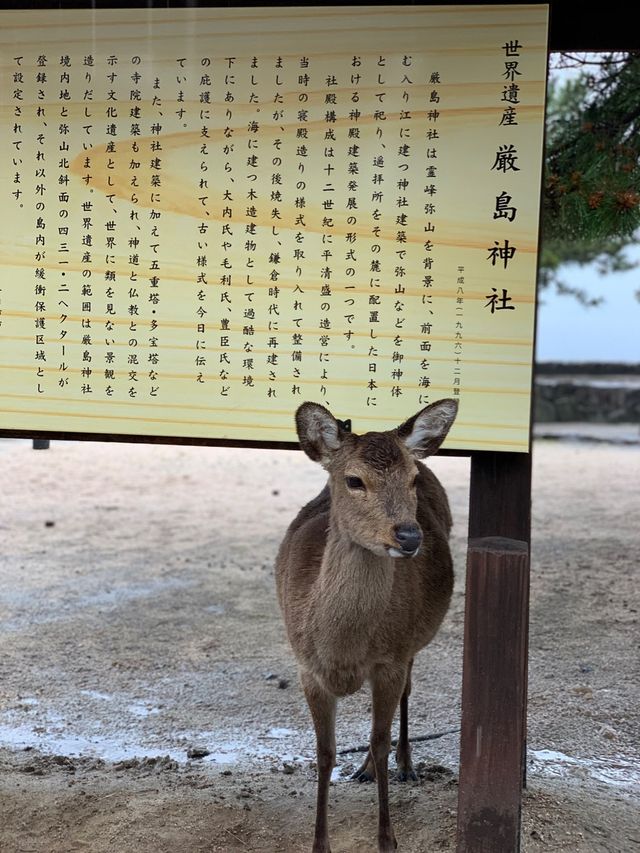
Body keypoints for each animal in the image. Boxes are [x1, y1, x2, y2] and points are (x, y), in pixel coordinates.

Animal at [278, 400, 458, 852]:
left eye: (411, 480)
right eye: (354, 480)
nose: (409, 536)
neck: (342, 648)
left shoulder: (391, 658)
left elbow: (379, 740)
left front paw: (387, 840)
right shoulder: (306, 668)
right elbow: (325, 752)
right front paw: (319, 843)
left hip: (414, 641)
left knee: (407, 694)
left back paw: (405, 764)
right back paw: (363, 770)